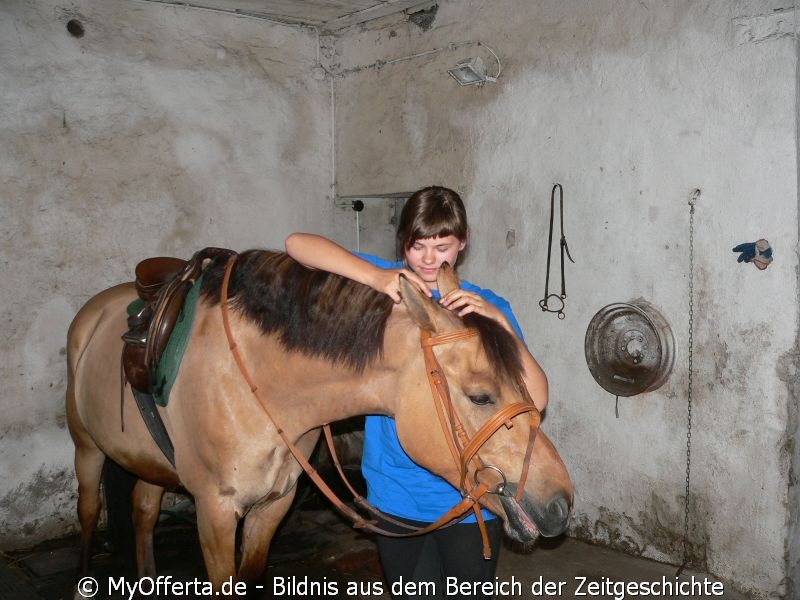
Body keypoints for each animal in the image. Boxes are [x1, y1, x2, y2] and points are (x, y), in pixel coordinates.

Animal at [65, 247, 572, 592]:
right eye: (481, 396)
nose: (562, 503)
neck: (259, 386)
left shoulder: (274, 504)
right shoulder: (214, 511)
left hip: (150, 464)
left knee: (143, 512)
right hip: (86, 448)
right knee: (89, 510)